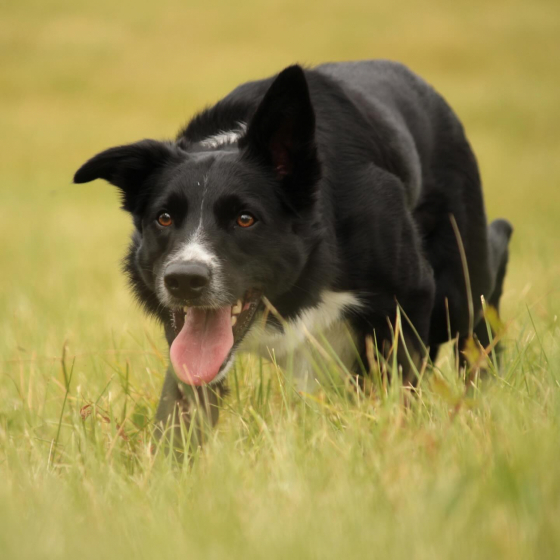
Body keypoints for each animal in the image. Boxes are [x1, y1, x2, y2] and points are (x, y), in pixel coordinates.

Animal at [73, 60, 512, 446]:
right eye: (164, 218)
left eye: (245, 219)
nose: (184, 279)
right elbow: (183, 405)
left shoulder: (408, 298)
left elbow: (399, 385)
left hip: (455, 293)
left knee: (484, 302)